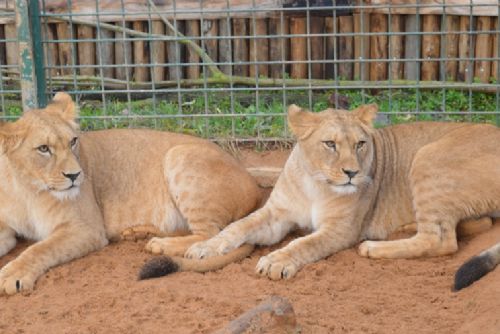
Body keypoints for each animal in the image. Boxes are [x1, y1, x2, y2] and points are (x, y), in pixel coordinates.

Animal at [0, 92, 264, 294]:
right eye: (43, 149)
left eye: (73, 141)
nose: (75, 175)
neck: (29, 189)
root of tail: (253, 184)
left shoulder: (86, 229)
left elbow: (39, 249)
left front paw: (13, 275)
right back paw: (137, 233)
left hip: (179, 154)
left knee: (208, 234)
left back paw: (160, 245)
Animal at [140, 103, 500, 282]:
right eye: (330, 144)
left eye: (361, 144)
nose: (352, 173)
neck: (315, 183)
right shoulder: (276, 215)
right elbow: (238, 226)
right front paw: (205, 247)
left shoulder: (341, 229)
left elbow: (304, 243)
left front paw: (276, 262)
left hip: (429, 156)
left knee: (441, 240)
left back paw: (374, 247)